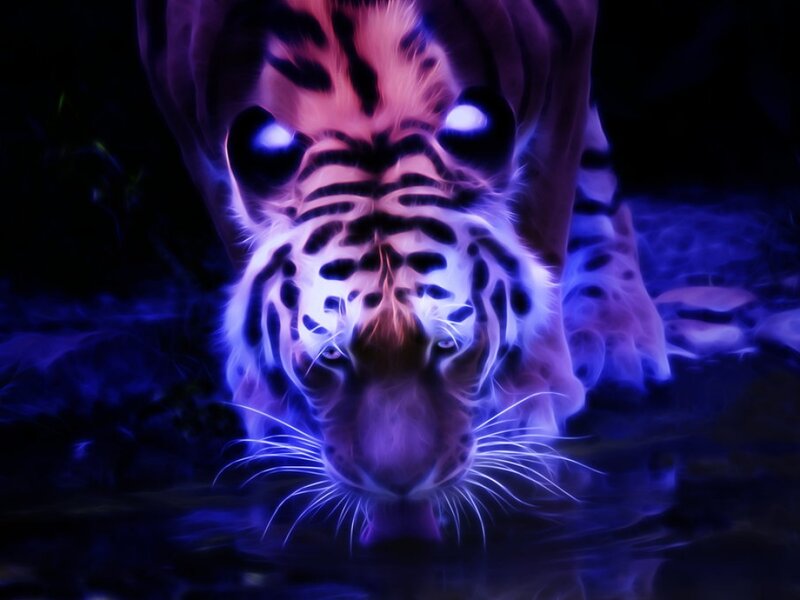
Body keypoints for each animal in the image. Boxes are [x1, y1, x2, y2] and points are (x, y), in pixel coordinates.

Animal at [138, 0, 670, 544]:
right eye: (330, 354)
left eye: (449, 345)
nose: (400, 487)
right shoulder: (190, 126)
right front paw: (274, 415)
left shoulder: (565, 62)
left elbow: (544, 222)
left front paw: (531, 401)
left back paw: (620, 333)